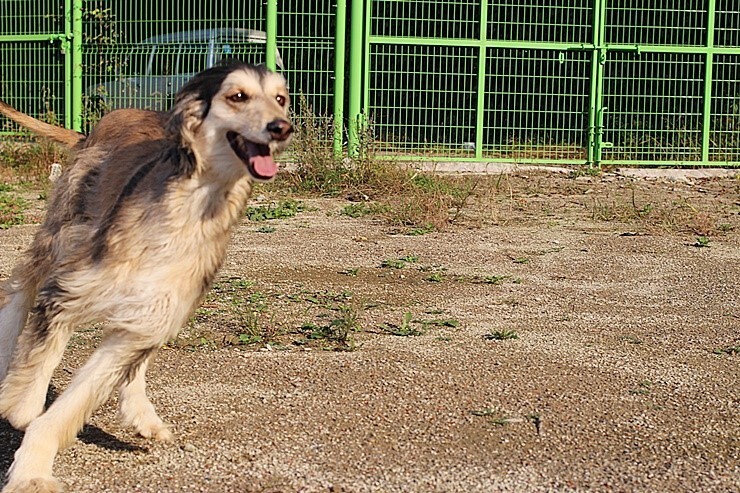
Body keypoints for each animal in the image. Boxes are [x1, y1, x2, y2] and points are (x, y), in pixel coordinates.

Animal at [0, 62, 294, 492]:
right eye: (237, 96)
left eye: (281, 98)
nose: (281, 128)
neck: (193, 209)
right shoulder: (70, 290)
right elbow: (39, 362)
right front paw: (21, 407)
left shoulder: (147, 318)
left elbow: (73, 404)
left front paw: (32, 470)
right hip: (65, 227)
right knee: (21, 283)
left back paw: (141, 412)